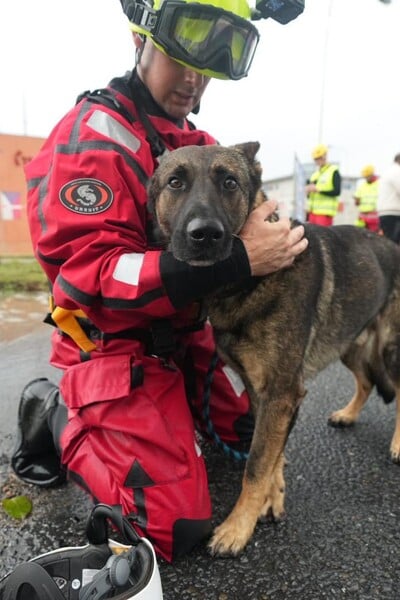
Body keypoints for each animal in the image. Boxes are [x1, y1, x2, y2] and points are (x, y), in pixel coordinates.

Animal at [148, 142, 400, 556]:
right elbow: (273, 455)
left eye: (229, 182)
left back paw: (397, 444)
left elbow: (256, 463)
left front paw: (237, 528)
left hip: (391, 349)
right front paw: (272, 496)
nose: (205, 235)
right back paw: (348, 414)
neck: (247, 280)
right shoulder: (264, 393)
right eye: (175, 182)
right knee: (365, 381)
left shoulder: (282, 393)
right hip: (349, 344)